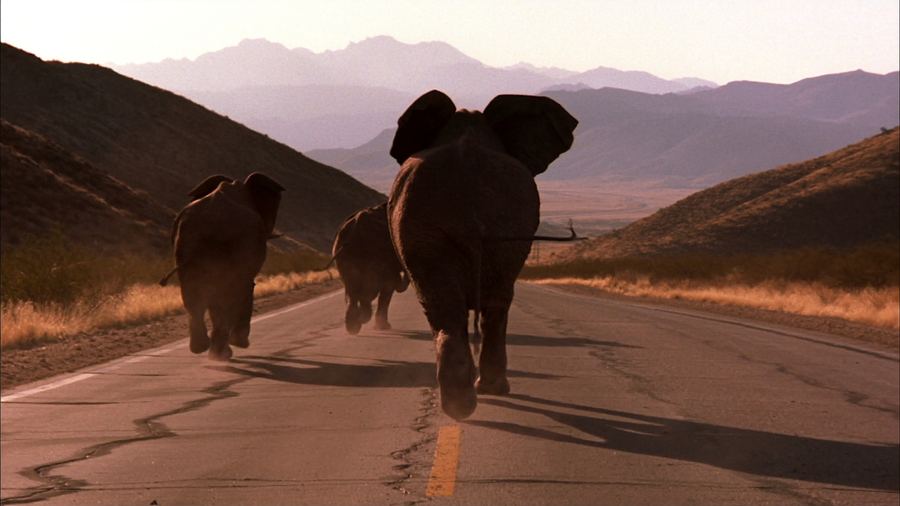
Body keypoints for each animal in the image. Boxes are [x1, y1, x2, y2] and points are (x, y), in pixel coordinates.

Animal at [162, 172, 285, 360]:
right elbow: (244, 287)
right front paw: (238, 344)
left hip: (185, 244)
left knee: (193, 291)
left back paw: (202, 348)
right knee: (234, 287)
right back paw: (224, 349)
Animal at [331, 202, 409, 334]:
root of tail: (353, 230)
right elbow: (387, 288)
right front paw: (383, 326)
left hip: (344, 258)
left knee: (352, 290)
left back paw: (353, 325)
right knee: (366, 291)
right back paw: (361, 319)